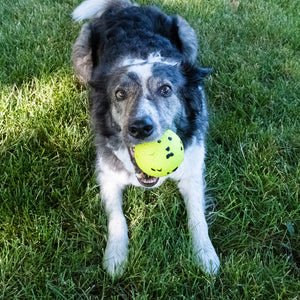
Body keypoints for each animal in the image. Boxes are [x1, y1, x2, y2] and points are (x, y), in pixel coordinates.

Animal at [71, 0, 219, 278]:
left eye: (166, 89)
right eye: (120, 94)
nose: (140, 128)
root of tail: (124, 6)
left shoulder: (193, 170)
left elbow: (197, 217)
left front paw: (205, 255)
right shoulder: (107, 175)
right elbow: (117, 219)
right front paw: (116, 257)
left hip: (186, 33)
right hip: (81, 55)